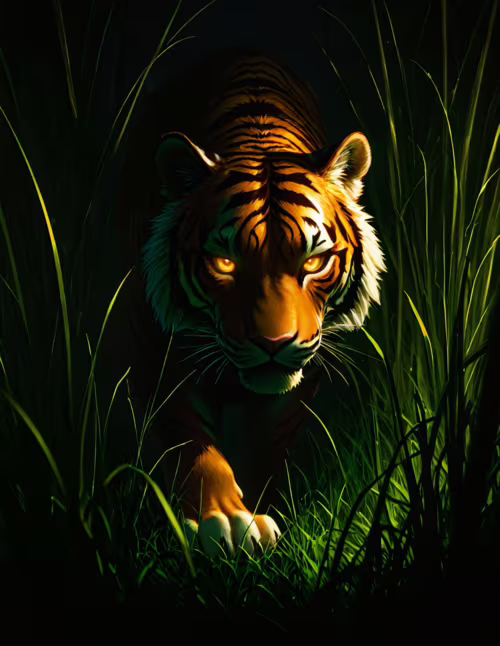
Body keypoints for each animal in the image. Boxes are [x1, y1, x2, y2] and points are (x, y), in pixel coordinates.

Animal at [114, 50, 386, 559]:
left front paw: (258, 508)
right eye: (225, 262)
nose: (274, 343)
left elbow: (269, 442)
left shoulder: (303, 377)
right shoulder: (154, 349)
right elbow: (189, 439)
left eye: (313, 261)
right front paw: (223, 519)